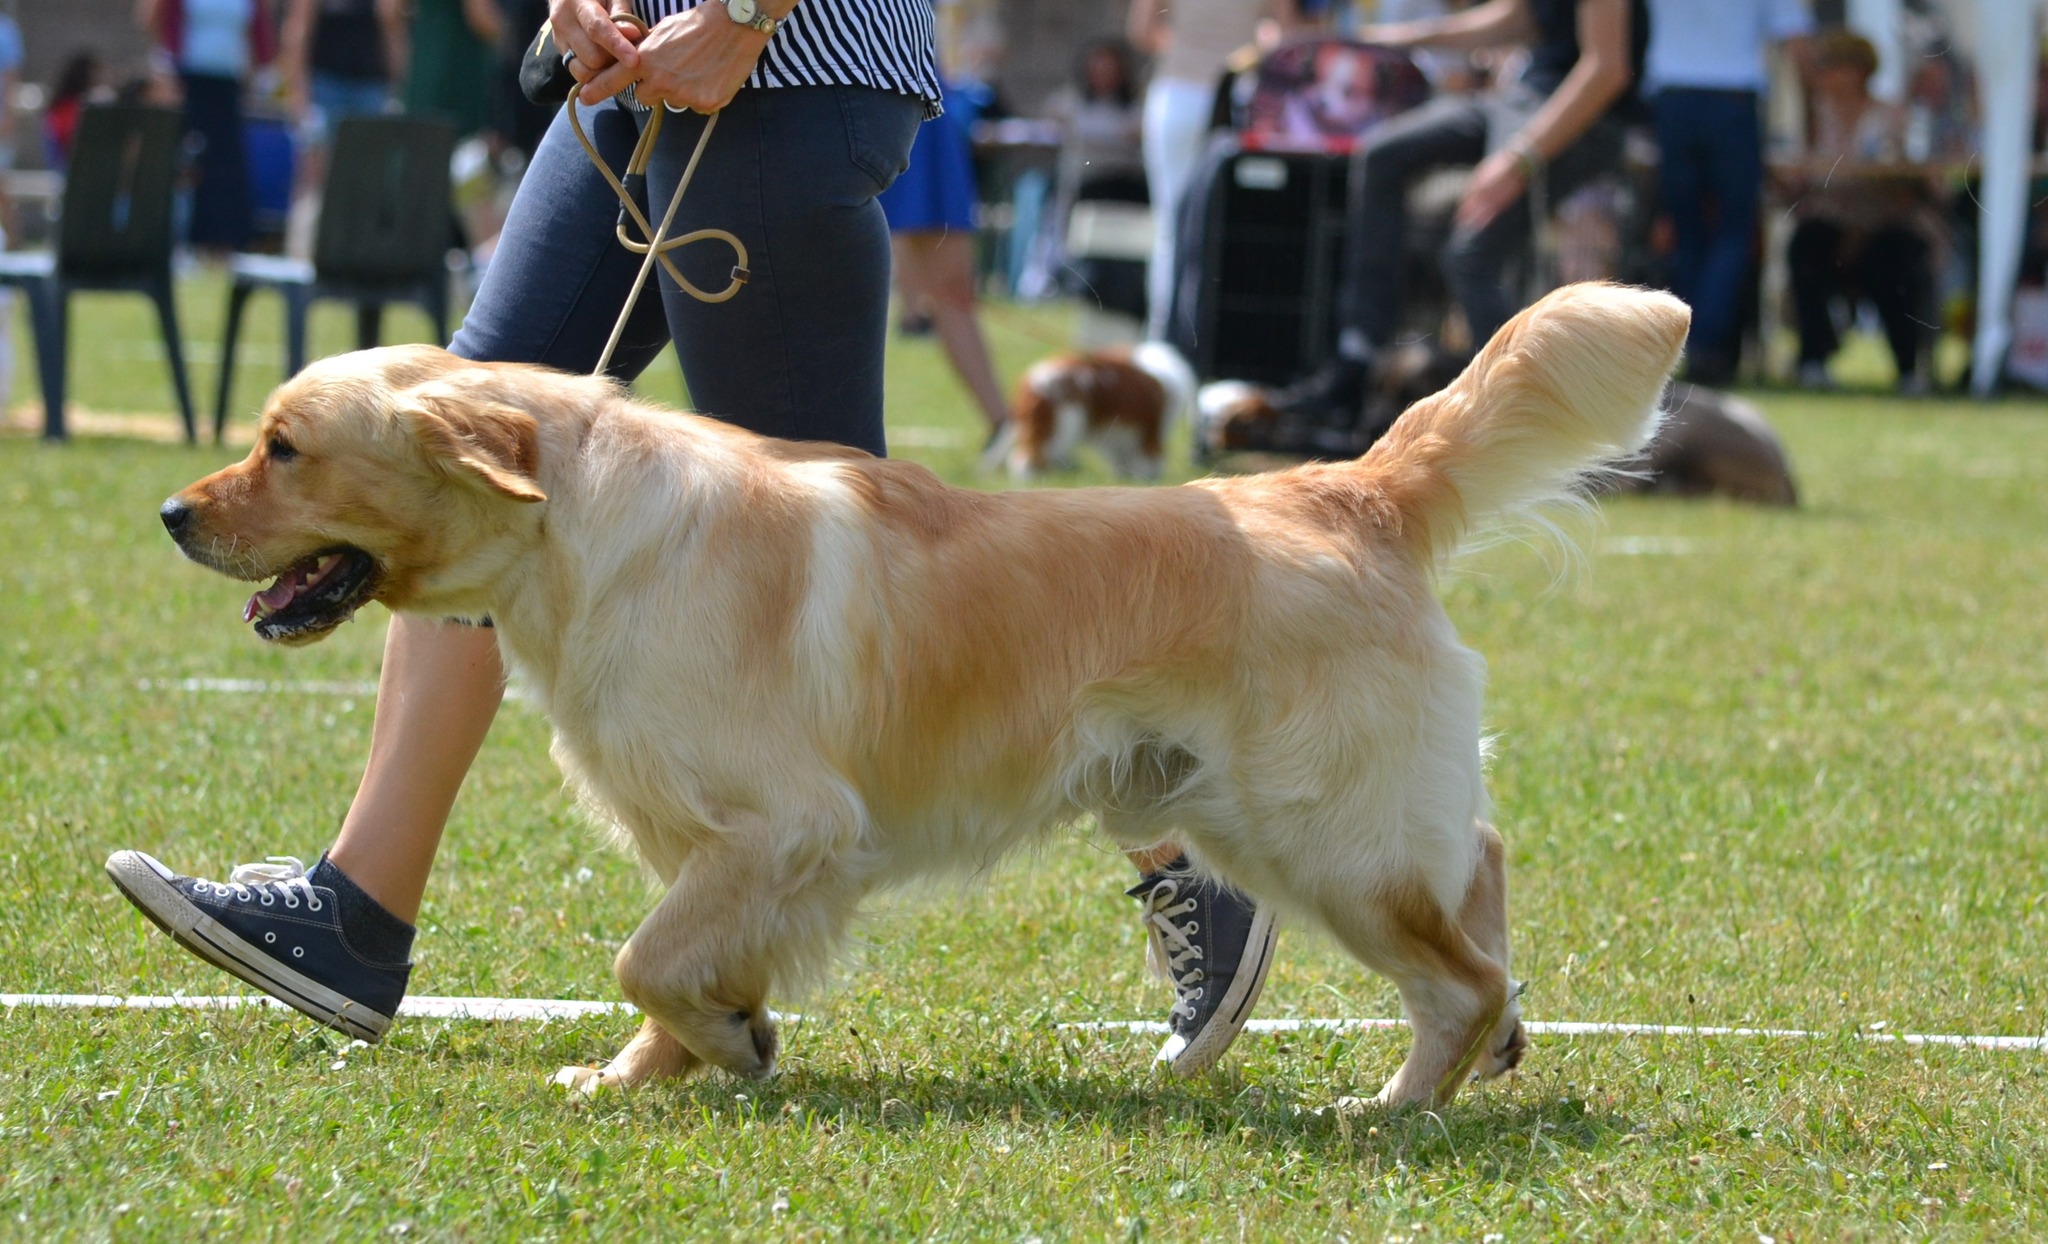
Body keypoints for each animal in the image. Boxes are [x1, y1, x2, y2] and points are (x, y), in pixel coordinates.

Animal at [978, 342, 1196, 483]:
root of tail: (1031, 382)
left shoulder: (1120, 434)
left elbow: (1121, 458)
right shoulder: (1151, 431)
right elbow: (1149, 459)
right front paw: (1147, 479)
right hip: (1060, 428)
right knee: (1026, 460)